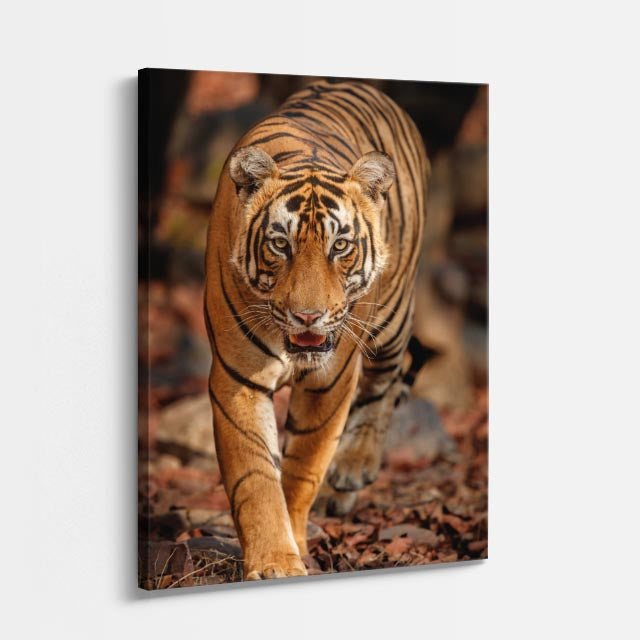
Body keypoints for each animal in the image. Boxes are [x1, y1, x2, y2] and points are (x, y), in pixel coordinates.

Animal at [204, 79, 429, 580]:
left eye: (340, 246)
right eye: (280, 245)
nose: (308, 316)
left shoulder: (331, 380)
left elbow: (303, 467)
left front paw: (295, 538)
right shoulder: (238, 380)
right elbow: (255, 477)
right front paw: (275, 560)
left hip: (391, 319)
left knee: (388, 379)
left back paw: (354, 468)